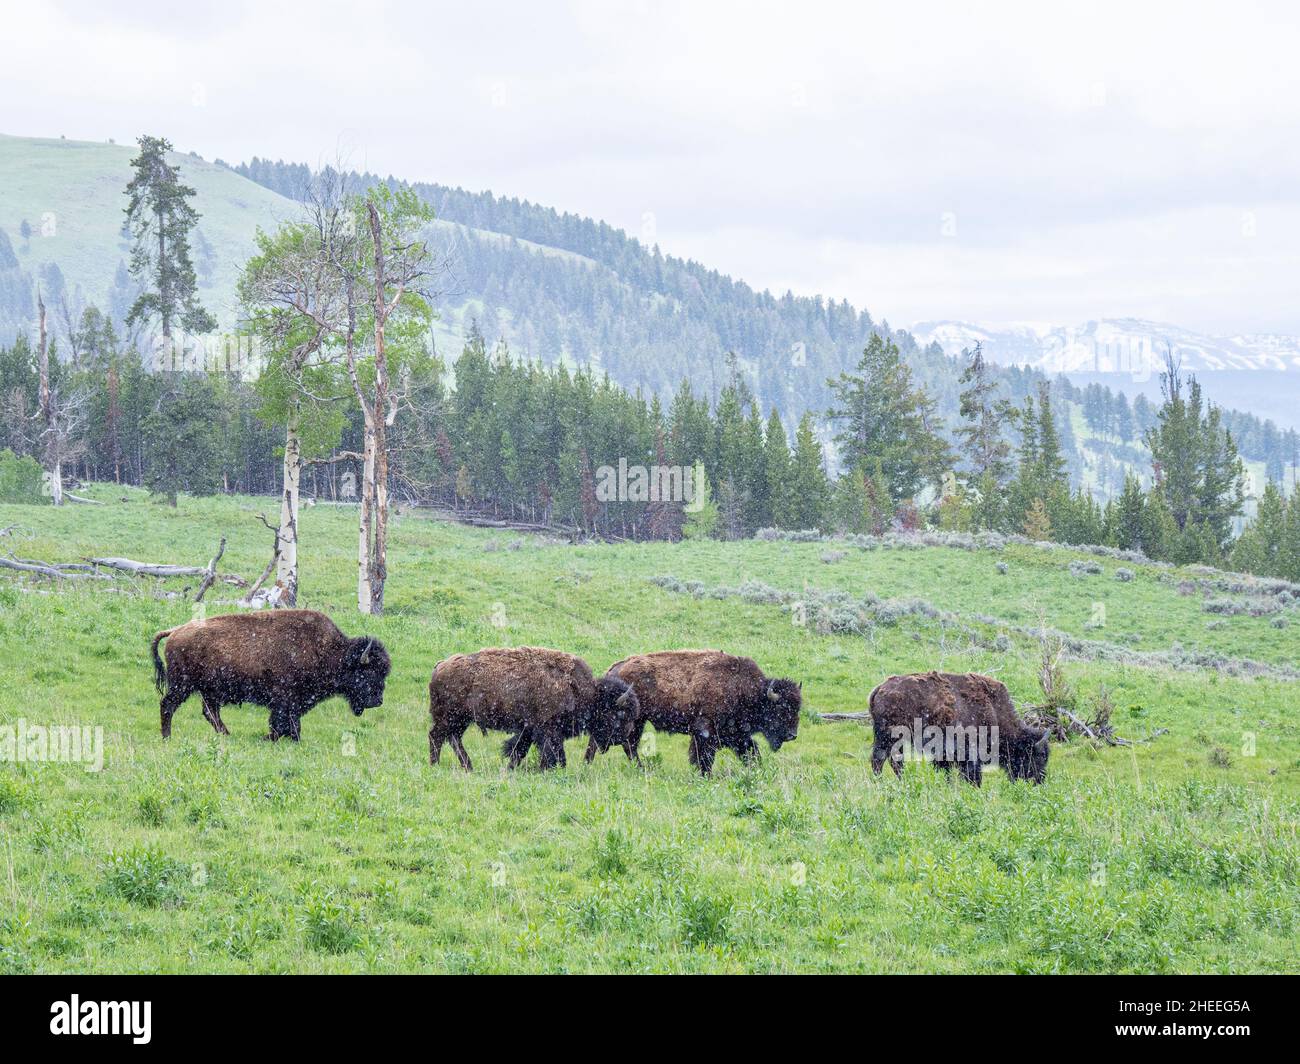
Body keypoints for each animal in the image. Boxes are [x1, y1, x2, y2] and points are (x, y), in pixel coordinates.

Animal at [148, 606, 387, 738]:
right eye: (369, 672)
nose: (378, 701)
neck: (329, 650)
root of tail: (175, 631)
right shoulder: (285, 698)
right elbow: (283, 722)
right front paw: (272, 738)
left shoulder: (294, 701)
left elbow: (291, 723)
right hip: (182, 685)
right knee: (168, 705)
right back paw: (167, 737)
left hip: (207, 690)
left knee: (210, 712)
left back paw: (227, 735)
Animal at [426, 642, 639, 764]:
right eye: (620, 714)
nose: (625, 737)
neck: (587, 694)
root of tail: (440, 666)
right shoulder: (547, 730)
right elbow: (553, 755)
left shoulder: (528, 730)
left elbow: (518, 751)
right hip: (449, 718)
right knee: (436, 736)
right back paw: (436, 765)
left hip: (460, 720)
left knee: (453, 739)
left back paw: (468, 767)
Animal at [592, 647, 800, 770]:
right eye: (781, 709)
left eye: (797, 708)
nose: (792, 735)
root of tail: (615, 668)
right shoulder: (705, 731)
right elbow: (704, 756)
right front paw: (704, 774)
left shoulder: (737, 734)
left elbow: (750, 750)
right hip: (636, 720)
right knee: (630, 744)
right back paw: (641, 768)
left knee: (628, 744)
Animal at [868, 665, 1050, 785]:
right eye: (1038, 756)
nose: (1039, 780)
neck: (994, 710)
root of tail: (880, 688)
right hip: (890, 737)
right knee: (882, 759)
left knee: (891, 760)